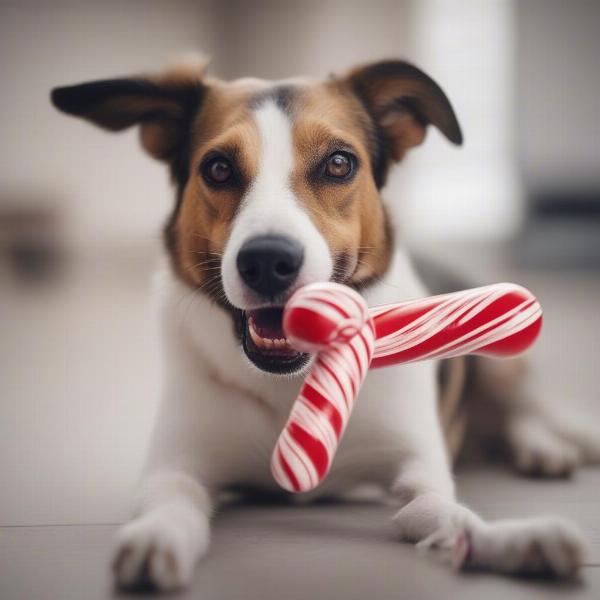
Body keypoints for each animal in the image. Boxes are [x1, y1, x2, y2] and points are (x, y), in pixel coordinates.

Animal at [52, 54, 600, 588]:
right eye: (219, 168)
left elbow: (448, 511)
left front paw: (518, 540)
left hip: (505, 357)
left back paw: (545, 447)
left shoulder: (417, 469)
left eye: (338, 163)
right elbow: (170, 501)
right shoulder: (175, 465)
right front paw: (156, 537)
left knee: (527, 408)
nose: (267, 260)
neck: (289, 385)